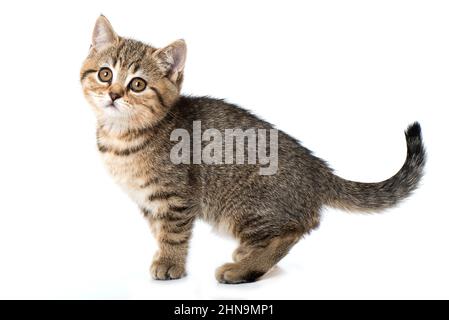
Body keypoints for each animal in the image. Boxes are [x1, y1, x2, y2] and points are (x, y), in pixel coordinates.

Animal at [81, 16, 428, 284]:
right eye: (105, 74)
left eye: (138, 84)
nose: (114, 94)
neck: (122, 137)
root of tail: (317, 169)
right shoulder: (148, 201)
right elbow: (159, 231)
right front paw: (162, 257)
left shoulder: (177, 197)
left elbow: (173, 233)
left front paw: (170, 263)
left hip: (246, 207)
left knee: (294, 230)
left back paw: (243, 269)